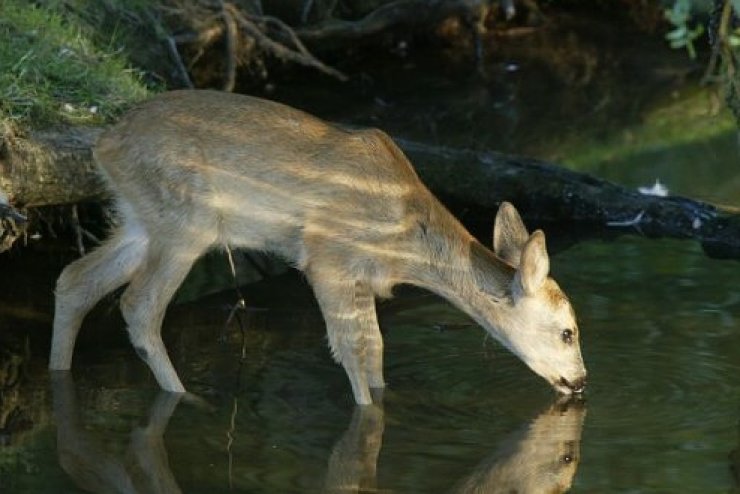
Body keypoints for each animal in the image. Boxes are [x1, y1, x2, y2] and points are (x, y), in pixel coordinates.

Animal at [49, 89, 588, 406]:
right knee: (139, 306)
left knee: (74, 280)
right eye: (567, 332)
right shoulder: (327, 257)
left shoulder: (363, 277)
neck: (406, 246)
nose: (580, 381)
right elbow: (351, 348)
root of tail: (105, 142)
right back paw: (187, 399)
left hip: (141, 218)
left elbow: (376, 347)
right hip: (187, 222)